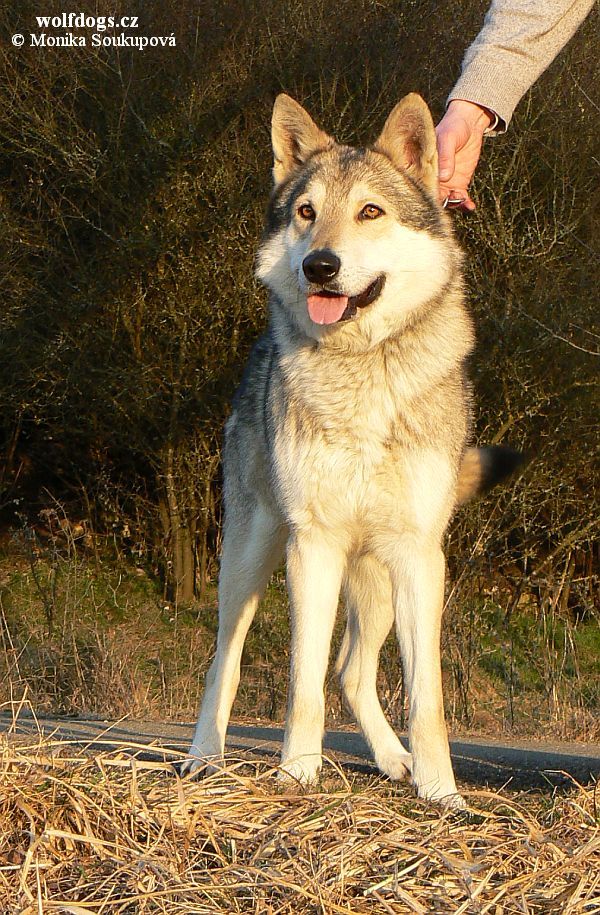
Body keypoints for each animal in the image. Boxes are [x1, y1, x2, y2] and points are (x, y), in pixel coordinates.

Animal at [183, 93, 520, 808]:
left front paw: (442, 794)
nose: (320, 266)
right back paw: (202, 759)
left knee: (351, 671)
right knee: (226, 659)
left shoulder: (420, 557)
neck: (363, 368)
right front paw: (296, 776)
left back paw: (396, 761)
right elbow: (301, 686)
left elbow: (426, 699)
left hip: (379, 582)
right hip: (250, 559)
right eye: (307, 213)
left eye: (370, 211)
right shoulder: (313, 546)